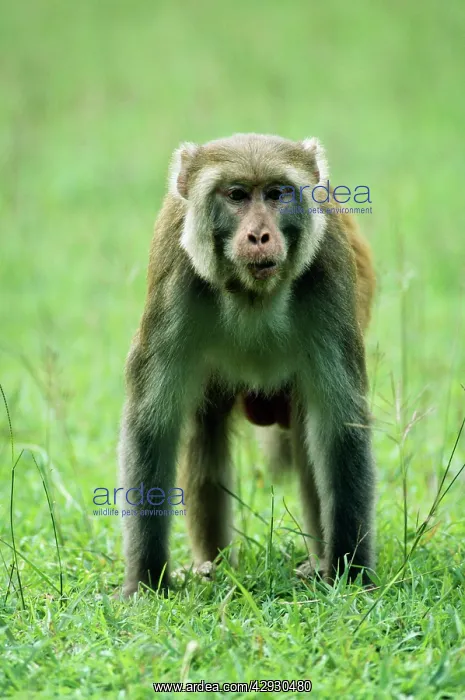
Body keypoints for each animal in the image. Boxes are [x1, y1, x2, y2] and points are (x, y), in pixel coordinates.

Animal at [118, 133, 376, 596]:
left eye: (276, 194)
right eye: (237, 196)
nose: (259, 235)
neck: (252, 294)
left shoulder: (328, 273)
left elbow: (339, 428)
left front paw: (351, 575)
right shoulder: (174, 275)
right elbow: (153, 424)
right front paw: (145, 581)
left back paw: (317, 562)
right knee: (204, 434)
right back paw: (213, 565)